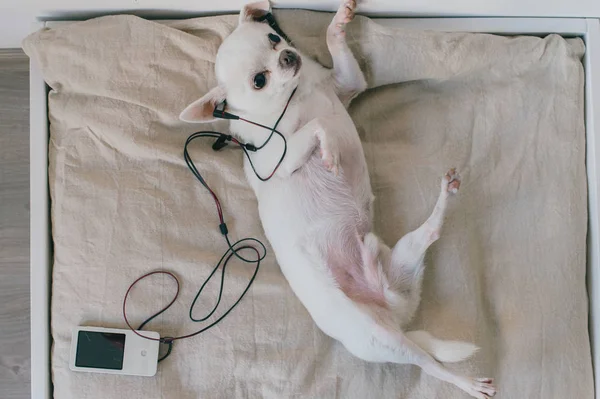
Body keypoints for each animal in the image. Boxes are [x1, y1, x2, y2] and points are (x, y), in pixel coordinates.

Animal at [178, 1, 496, 398]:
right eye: (259, 80)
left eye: (273, 38)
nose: (288, 55)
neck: (296, 94)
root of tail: (394, 313)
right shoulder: (279, 158)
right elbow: (319, 126)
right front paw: (329, 152)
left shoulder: (347, 84)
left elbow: (334, 65)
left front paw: (339, 23)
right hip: (381, 337)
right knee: (429, 366)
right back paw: (468, 383)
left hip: (405, 259)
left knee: (430, 235)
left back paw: (444, 195)